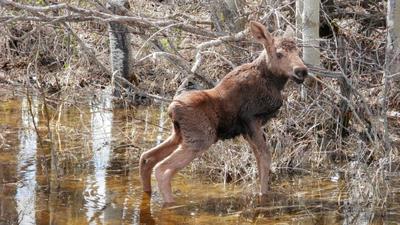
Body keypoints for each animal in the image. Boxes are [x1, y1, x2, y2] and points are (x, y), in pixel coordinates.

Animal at [140, 21, 310, 204]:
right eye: (279, 53)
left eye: (298, 51)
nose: (302, 70)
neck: (274, 82)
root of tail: (172, 109)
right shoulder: (252, 119)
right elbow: (265, 157)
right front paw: (263, 194)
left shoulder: (245, 129)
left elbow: (258, 158)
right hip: (200, 139)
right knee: (162, 169)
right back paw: (170, 203)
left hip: (179, 135)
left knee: (146, 157)